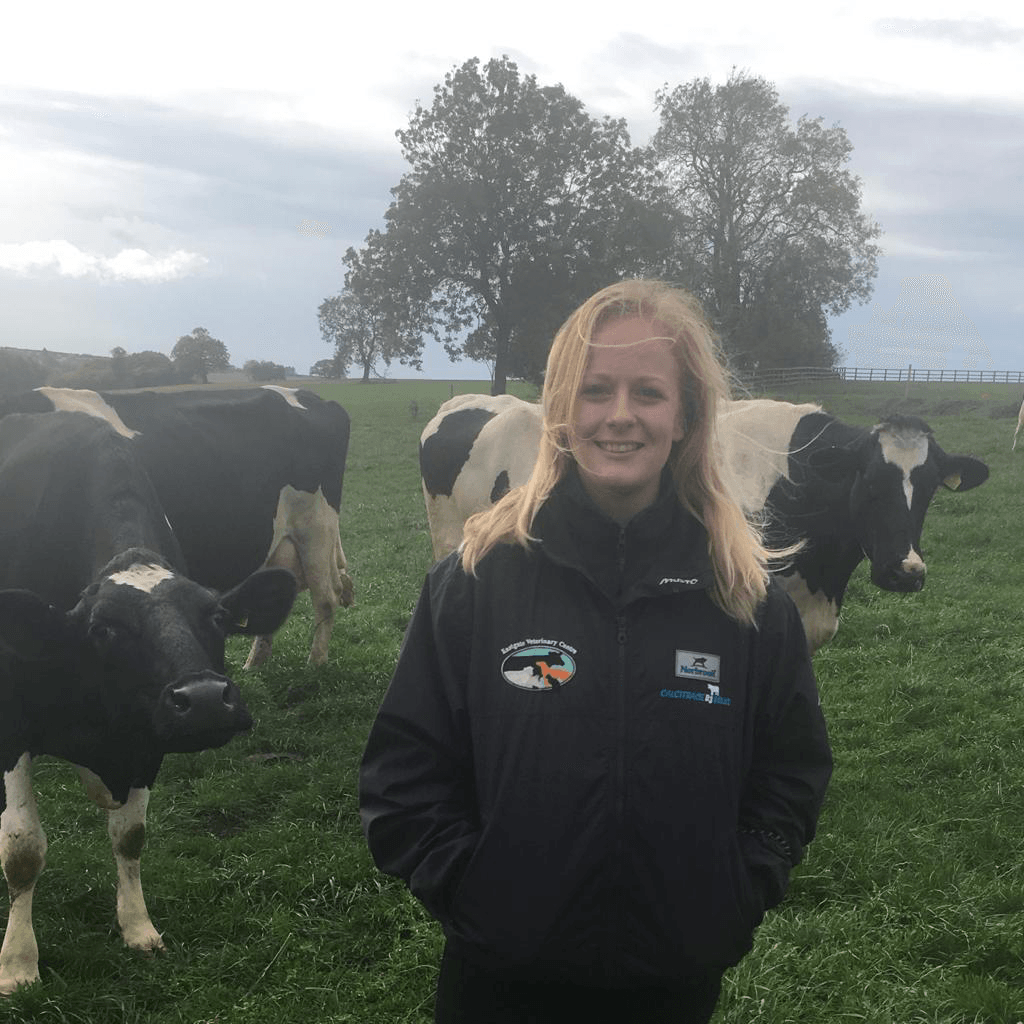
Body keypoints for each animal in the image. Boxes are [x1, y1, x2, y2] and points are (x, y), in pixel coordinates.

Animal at [0, 411, 297, 993]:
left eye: (218, 617)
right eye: (104, 629)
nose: (204, 700)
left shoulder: (147, 737)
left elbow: (130, 836)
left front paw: (137, 928)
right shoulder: (11, 725)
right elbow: (23, 851)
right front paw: (18, 964)